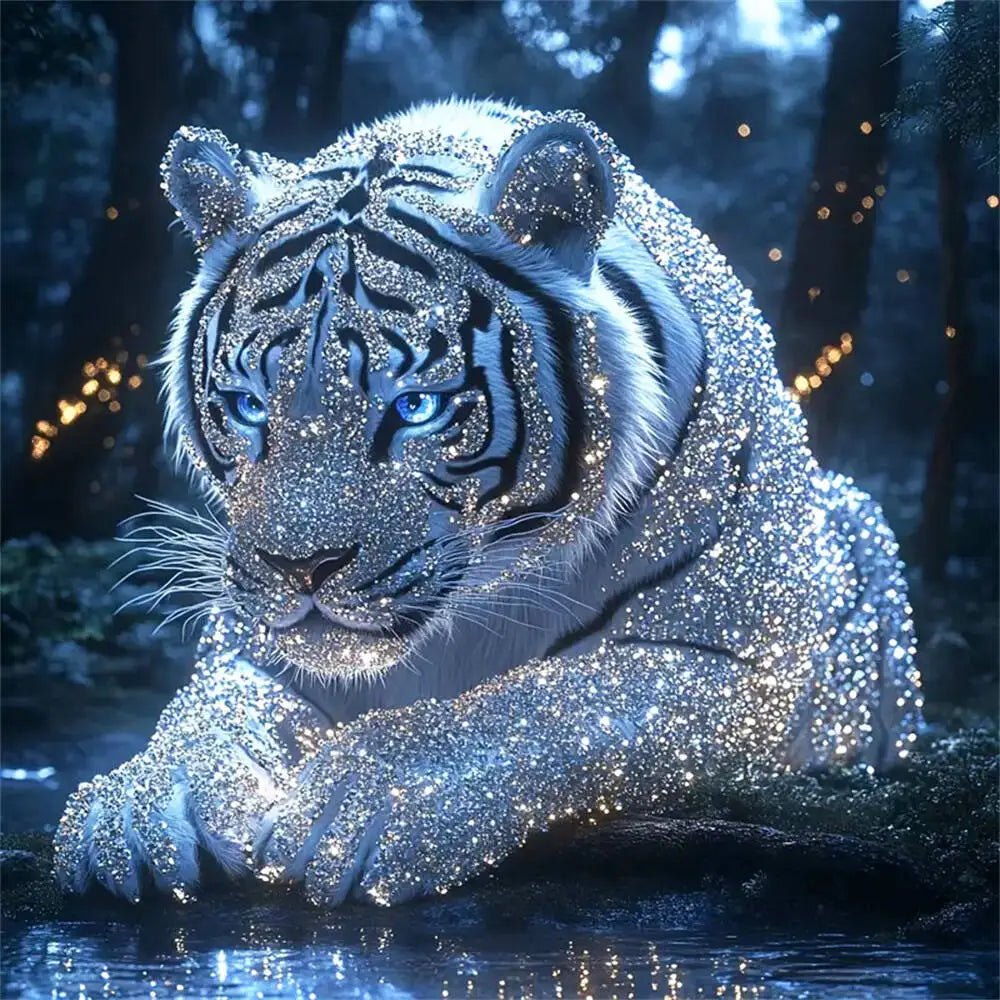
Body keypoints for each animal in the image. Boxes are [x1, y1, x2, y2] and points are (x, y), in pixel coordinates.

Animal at [54, 99, 923, 907]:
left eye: (415, 408)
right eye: (247, 405)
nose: (300, 568)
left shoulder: (741, 663)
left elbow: (550, 703)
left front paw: (363, 803)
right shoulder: (249, 646)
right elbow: (207, 715)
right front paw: (134, 808)